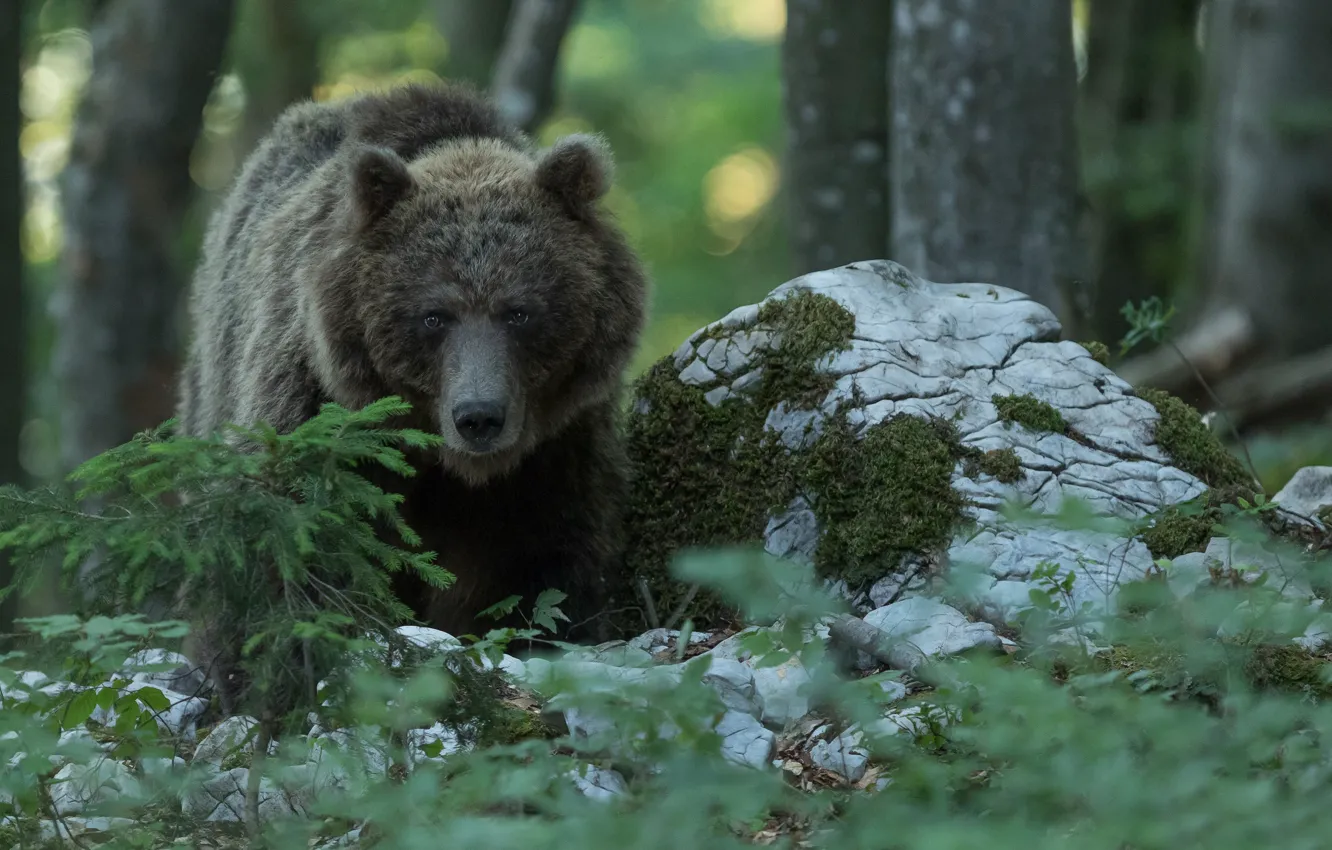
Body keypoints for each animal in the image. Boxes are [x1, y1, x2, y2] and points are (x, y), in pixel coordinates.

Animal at [174, 79, 652, 703]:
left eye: (519, 311)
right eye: (434, 315)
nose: (479, 416)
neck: (439, 458)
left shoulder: (556, 447)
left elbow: (553, 562)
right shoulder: (319, 412)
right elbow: (289, 541)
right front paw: (272, 668)